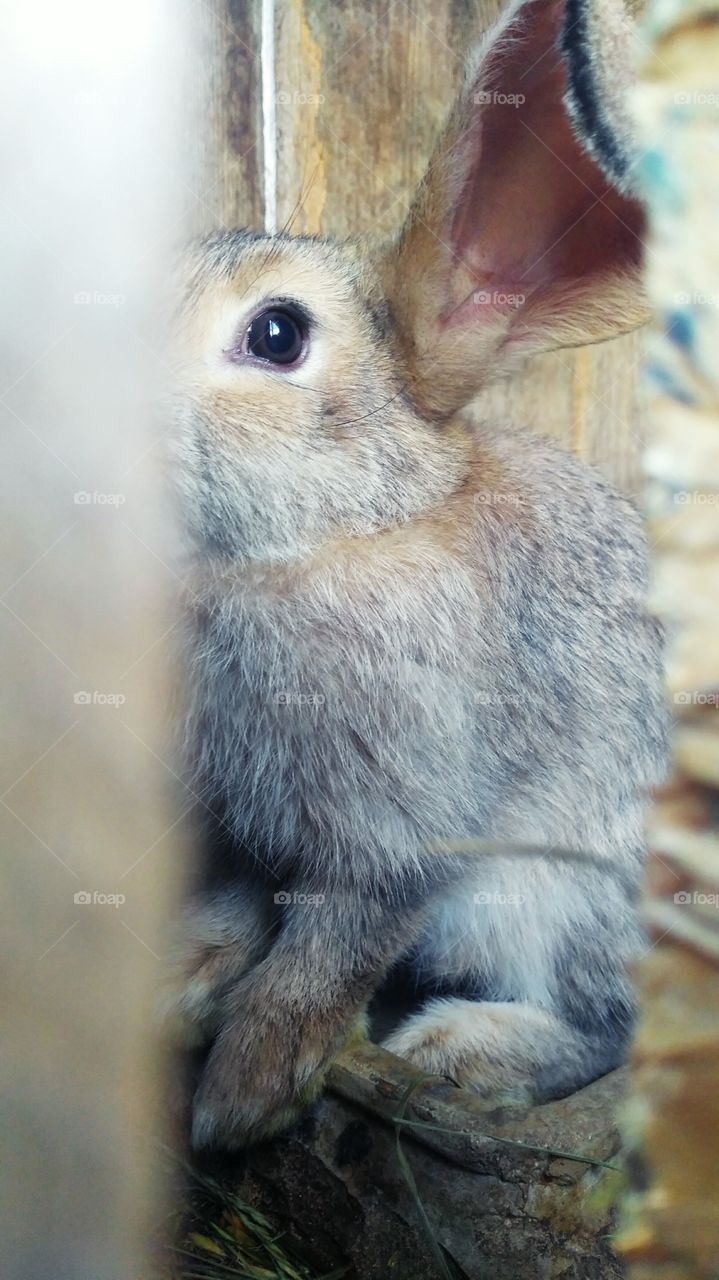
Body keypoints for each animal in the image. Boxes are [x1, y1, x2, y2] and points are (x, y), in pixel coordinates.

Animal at [166, 0, 666, 1149]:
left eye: (276, 333)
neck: (332, 534)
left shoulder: (397, 827)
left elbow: (331, 947)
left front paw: (244, 1093)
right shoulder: (244, 830)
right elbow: (238, 908)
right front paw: (182, 985)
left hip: (563, 898)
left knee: (608, 1027)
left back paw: (470, 1051)